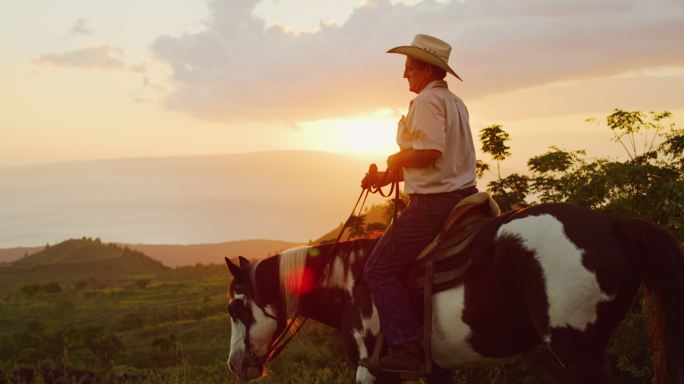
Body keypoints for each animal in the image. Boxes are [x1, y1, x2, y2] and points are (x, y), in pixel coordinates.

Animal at [224, 202, 684, 382]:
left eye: (235, 308)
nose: (235, 365)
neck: (348, 281)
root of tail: (613, 224)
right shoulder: (436, 367)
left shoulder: (372, 369)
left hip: (579, 352)